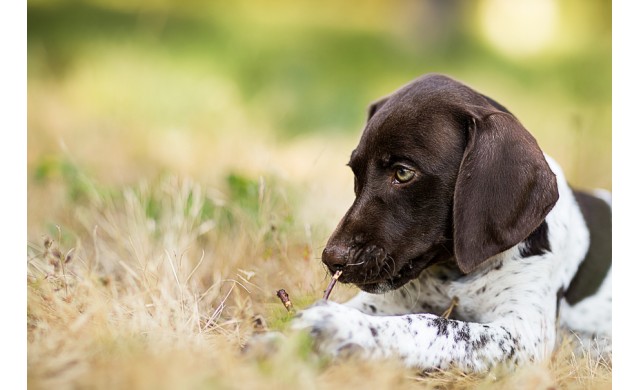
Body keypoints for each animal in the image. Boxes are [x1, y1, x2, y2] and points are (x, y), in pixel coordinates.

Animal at [292, 74, 612, 374]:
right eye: (355, 173)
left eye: (403, 173)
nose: (332, 259)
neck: (454, 272)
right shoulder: (387, 302)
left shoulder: (524, 336)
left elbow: (434, 325)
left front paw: (340, 325)